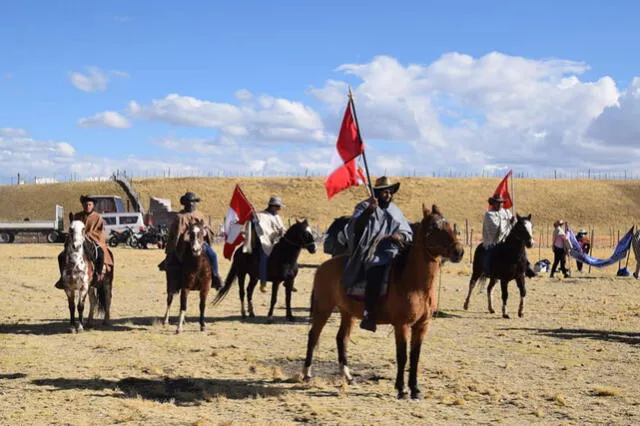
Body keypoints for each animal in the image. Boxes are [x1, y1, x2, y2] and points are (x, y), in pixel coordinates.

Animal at [302, 205, 462, 402]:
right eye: (434, 227)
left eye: (449, 225)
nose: (459, 252)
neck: (414, 283)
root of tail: (323, 267)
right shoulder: (402, 325)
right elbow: (402, 356)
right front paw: (401, 390)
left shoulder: (422, 325)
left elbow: (415, 357)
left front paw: (415, 390)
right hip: (323, 309)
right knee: (313, 336)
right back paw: (307, 374)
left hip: (347, 313)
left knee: (341, 338)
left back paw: (348, 376)